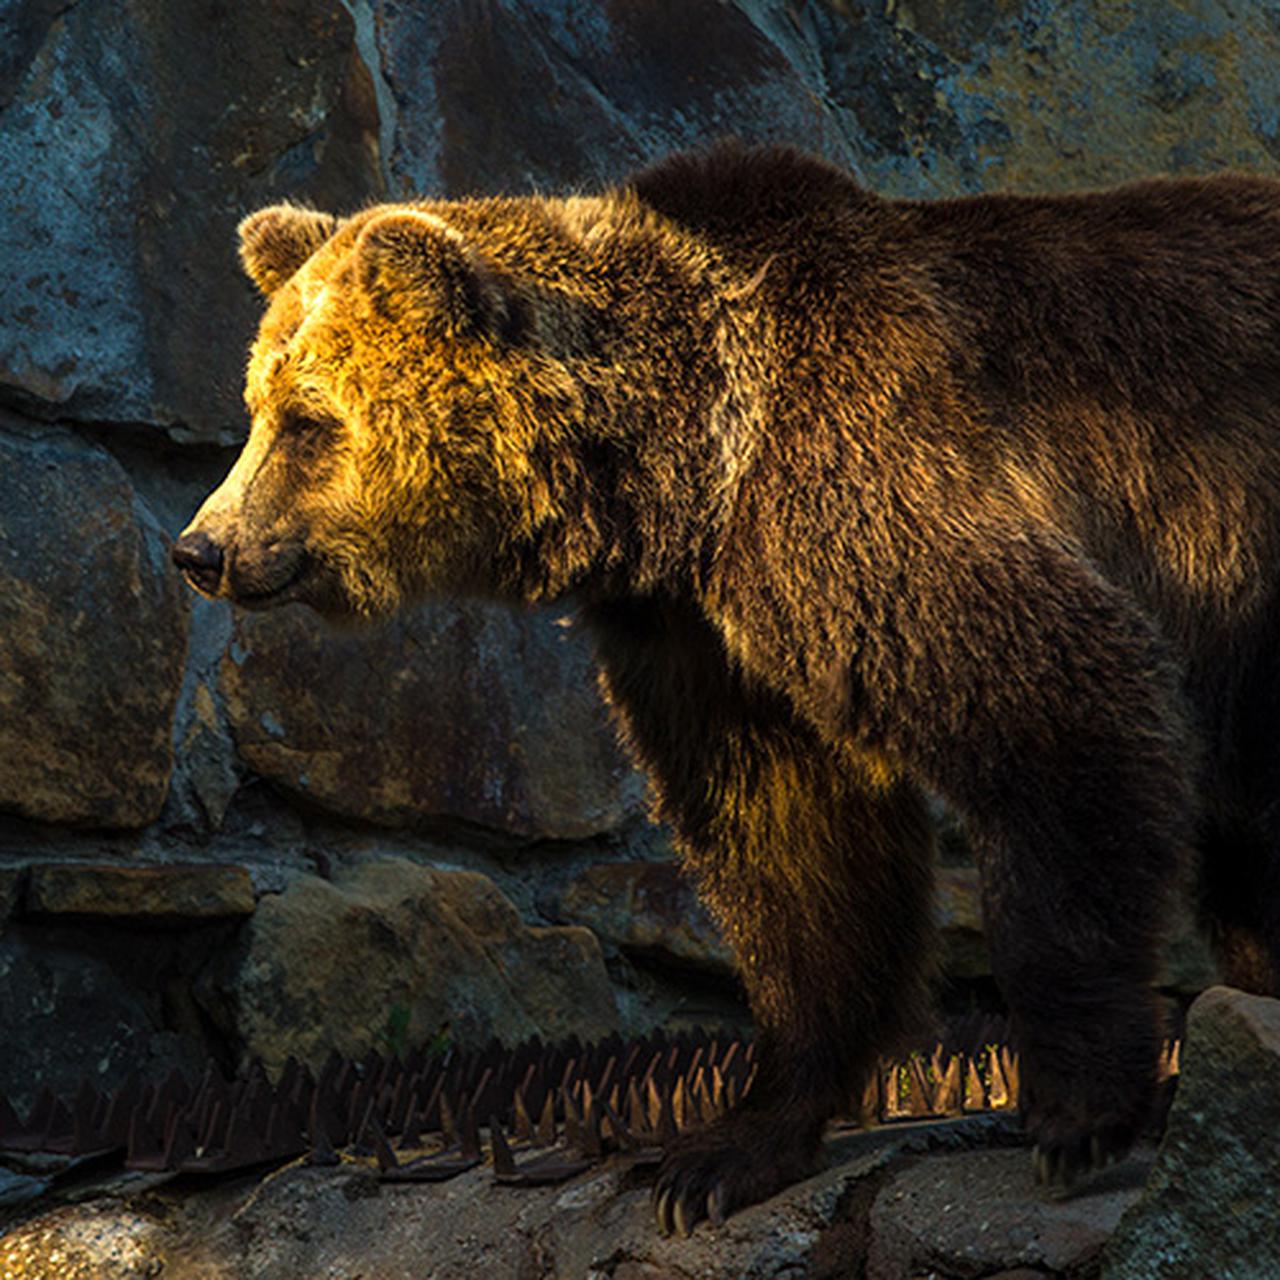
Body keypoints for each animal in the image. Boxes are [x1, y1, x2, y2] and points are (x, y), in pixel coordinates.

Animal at [177, 145, 1280, 1233]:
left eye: (307, 421)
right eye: (256, 407)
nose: (202, 547)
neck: (680, 470)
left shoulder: (861, 488)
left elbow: (1052, 702)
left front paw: (1075, 1113)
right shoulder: (706, 638)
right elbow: (793, 849)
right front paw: (725, 1150)